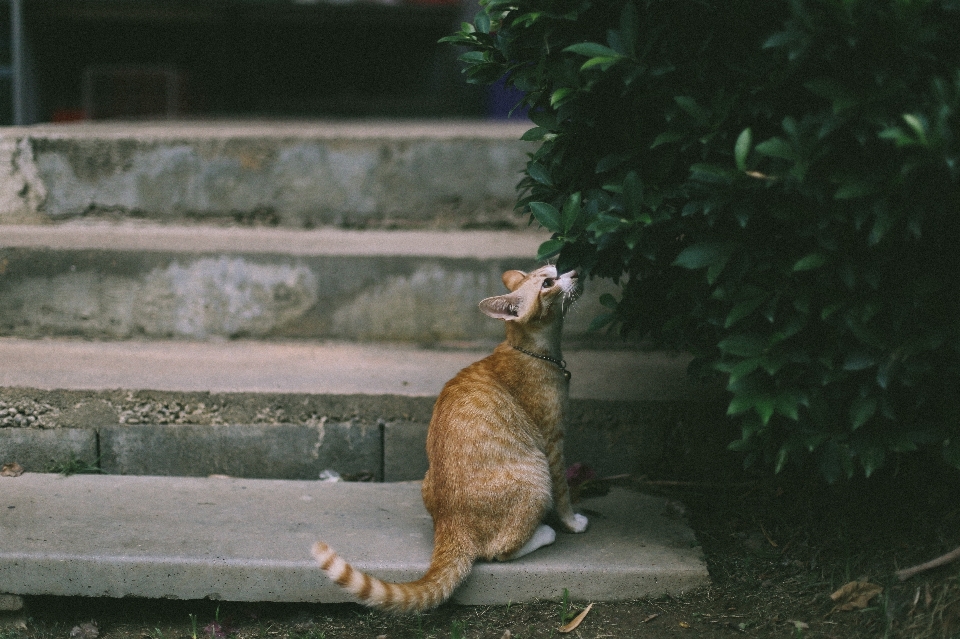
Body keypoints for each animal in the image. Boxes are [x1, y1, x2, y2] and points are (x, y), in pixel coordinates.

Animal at [312, 264, 588, 608]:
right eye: (549, 283)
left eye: (556, 268)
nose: (576, 272)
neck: (534, 351)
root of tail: (450, 525)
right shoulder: (553, 443)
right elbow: (564, 493)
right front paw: (573, 523)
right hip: (536, 477)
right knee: (498, 552)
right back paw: (543, 533)